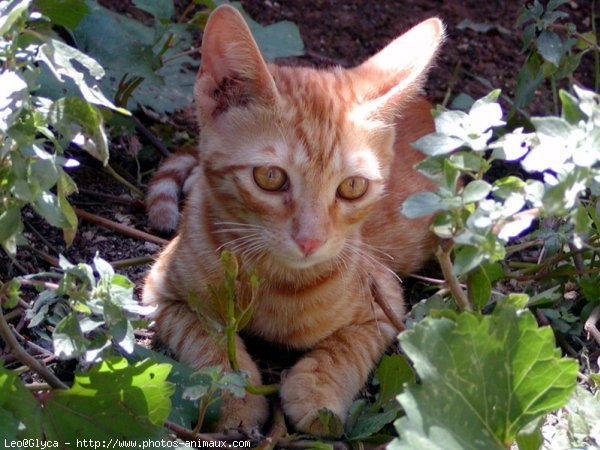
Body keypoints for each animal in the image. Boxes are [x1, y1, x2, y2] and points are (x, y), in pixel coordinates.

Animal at [143, 3, 442, 436]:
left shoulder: (384, 303)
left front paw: (316, 392)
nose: (310, 240)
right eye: (270, 177)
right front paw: (234, 395)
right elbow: (207, 339)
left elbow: (345, 347)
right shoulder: (160, 293)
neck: (272, 279)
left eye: (352, 187)